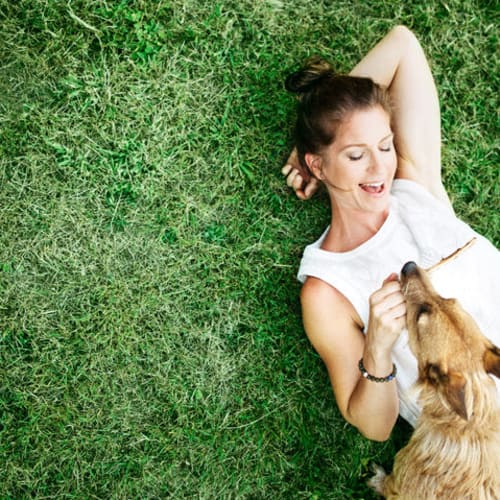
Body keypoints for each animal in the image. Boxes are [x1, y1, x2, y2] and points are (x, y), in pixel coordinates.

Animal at [368, 262, 500, 496]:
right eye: (449, 298)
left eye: (420, 314)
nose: (409, 264)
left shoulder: (399, 480)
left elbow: (388, 484)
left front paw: (377, 480)